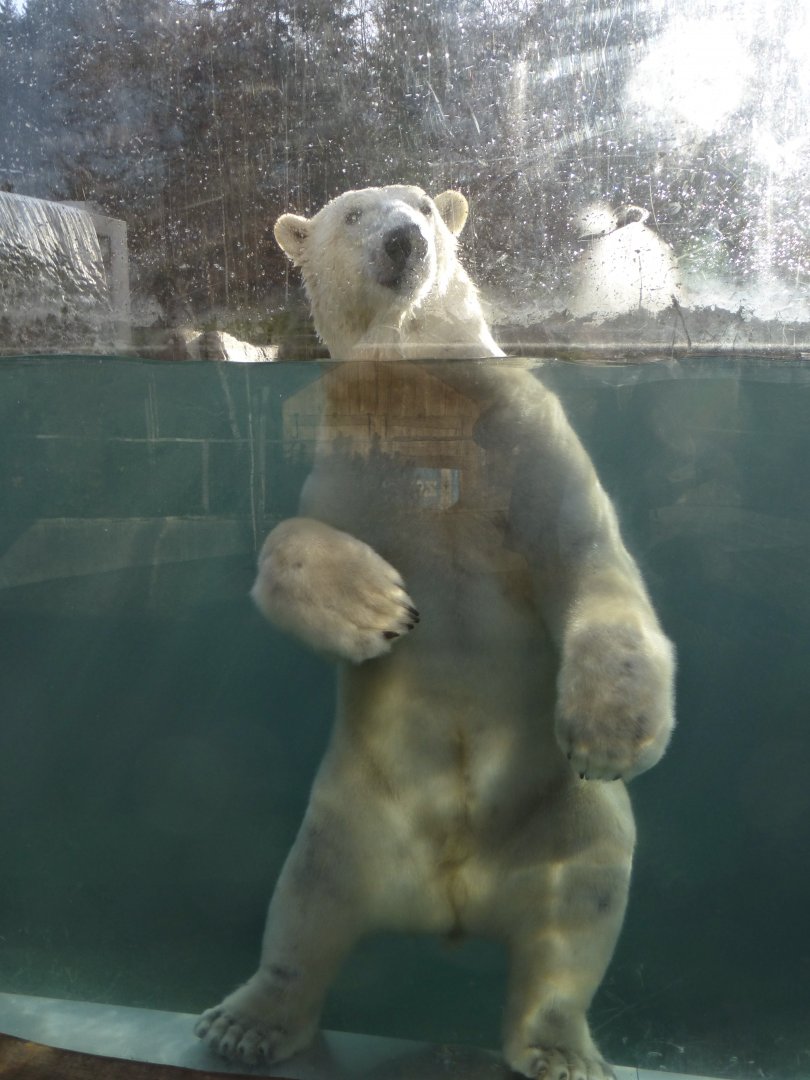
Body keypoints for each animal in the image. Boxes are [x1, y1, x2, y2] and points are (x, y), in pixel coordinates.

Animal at [195, 185, 676, 1079]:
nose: (403, 241)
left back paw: (558, 1046)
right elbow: (288, 535)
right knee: (306, 907)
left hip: (571, 823)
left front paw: (612, 729)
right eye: (352, 214)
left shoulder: (526, 441)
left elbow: (588, 561)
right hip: (350, 817)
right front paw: (376, 608)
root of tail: (453, 901)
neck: (423, 391)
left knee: (577, 913)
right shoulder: (352, 461)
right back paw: (246, 1022)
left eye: (422, 203)